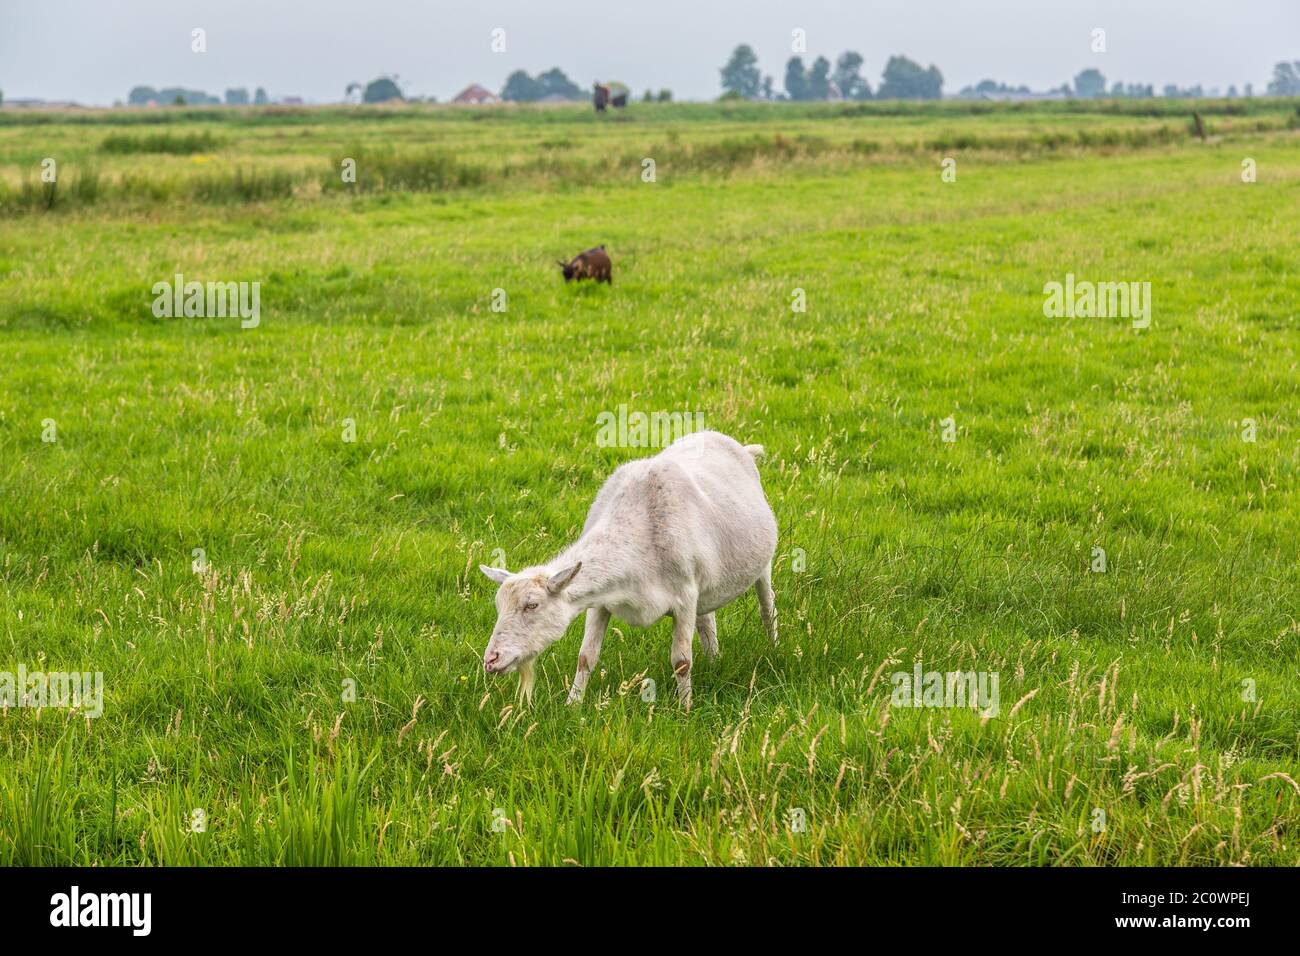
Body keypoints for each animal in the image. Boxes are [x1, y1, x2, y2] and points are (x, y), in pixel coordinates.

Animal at [483, 429, 774, 707]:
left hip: (763, 564)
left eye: (532, 605)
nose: (491, 659)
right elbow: (586, 657)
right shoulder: (600, 601)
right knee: (706, 619)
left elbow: (681, 662)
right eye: (498, 606)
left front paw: (686, 708)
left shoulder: (685, 597)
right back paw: (714, 660)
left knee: (767, 607)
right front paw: (572, 705)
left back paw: (773, 648)